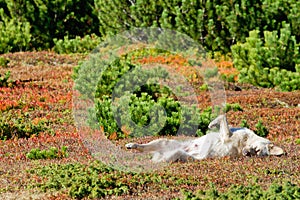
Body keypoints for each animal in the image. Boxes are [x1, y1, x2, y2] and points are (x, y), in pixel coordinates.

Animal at [125, 114, 284, 162]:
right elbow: (224, 117)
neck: (245, 142)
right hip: (163, 141)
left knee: (164, 157)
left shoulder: (226, 135)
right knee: (145, 147)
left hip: (179, 154)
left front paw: (211, 124)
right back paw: (132, 145)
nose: (246, 154)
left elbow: (223, 117)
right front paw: (211, 124)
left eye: (255, 154)